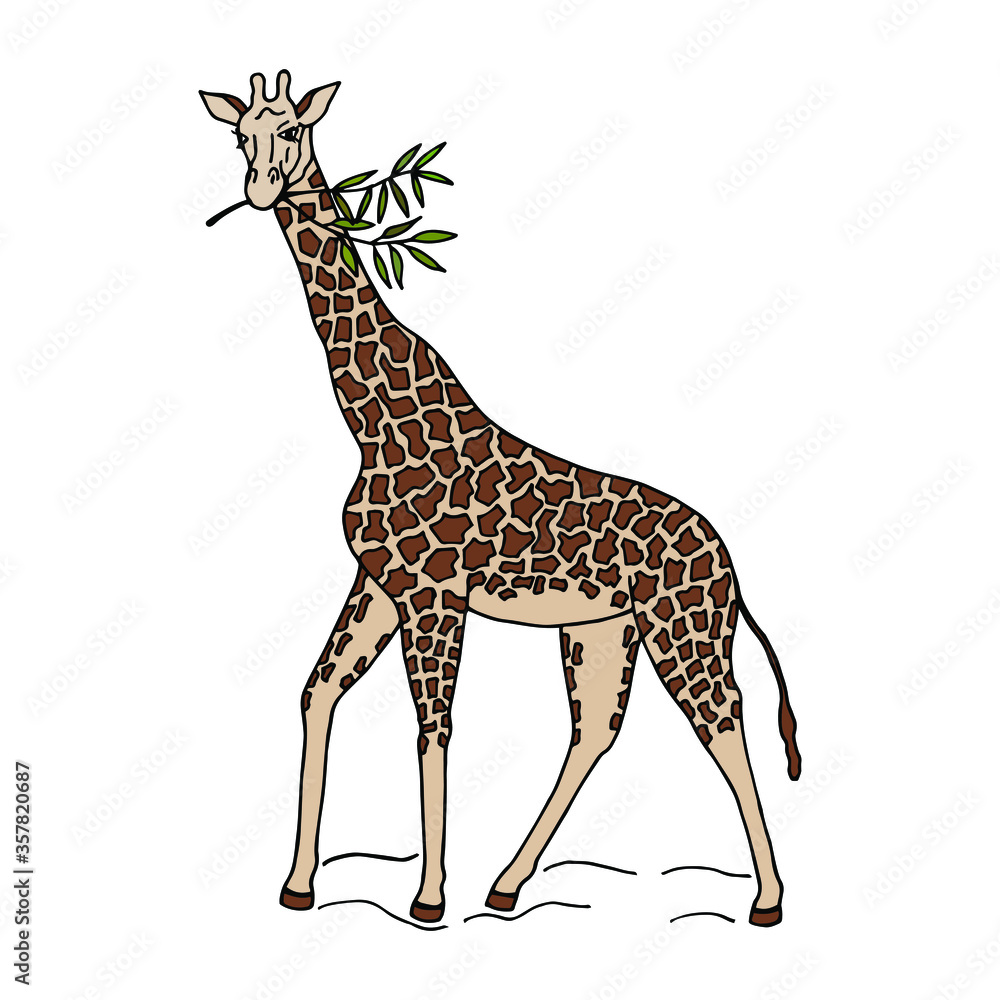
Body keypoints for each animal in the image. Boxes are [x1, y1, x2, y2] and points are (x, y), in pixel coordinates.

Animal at [200, 71, 802, 928]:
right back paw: (508, 883)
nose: (259, 189)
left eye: (291, 131)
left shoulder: (434, 592)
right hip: (602, 629)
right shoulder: (379, 582)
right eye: (239, 134)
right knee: (596, 731)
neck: (369, 422)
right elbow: (317, 693)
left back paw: (769, 899)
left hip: (682, 626)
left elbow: (434, 729)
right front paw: (299, 884)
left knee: (722, 722)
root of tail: (729, 562)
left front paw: (426, 899)